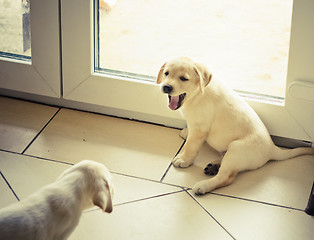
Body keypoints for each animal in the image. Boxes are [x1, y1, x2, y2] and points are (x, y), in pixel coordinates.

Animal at [157, 57, 314, 195]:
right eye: (166, 73)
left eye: (183, 78)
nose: (166, 87)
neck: (198, 94)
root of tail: (272, 148)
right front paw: (186, 132)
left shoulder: (200, 128)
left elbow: (191, 146)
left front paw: (184, 159)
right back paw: (214, 166)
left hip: (236, 149)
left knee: (227, 177)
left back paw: (203, 186)